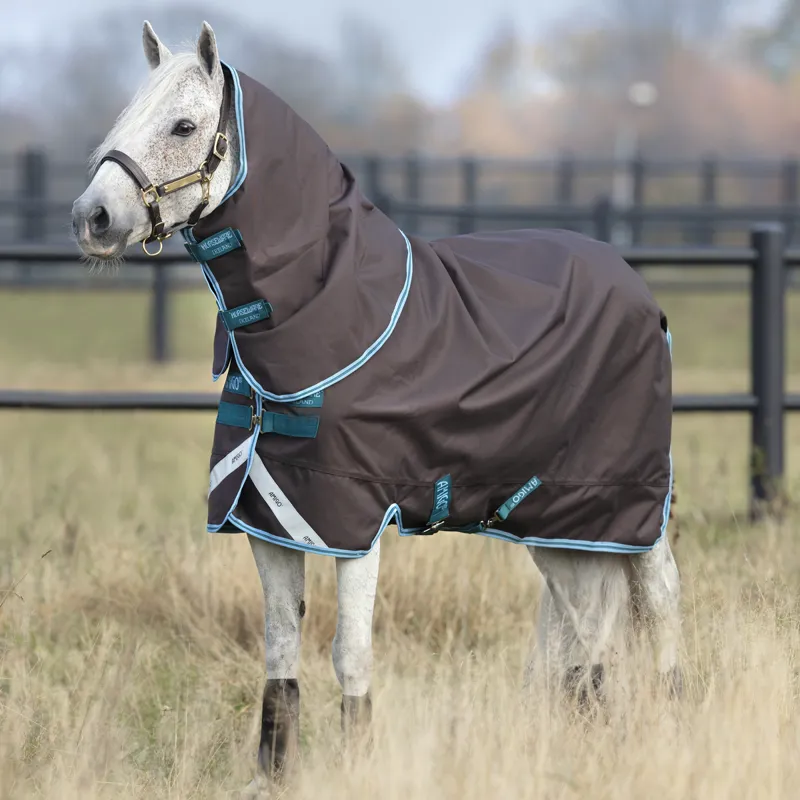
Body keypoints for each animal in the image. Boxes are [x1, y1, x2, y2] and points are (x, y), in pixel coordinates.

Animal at [72, 20, 682, 791]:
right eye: (126, 115)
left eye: (183, 126)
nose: (90, 218)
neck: (331, 314)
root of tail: (635, 287)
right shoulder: (271, 519)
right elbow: (280, 648)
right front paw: (271, 776)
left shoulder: (355, 520)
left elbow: (349, 654)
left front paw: (358, 764)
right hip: (557, 515)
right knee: (585, 622)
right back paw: (587, 733)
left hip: (630, 499)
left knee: (659, 601)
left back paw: (672, 723)